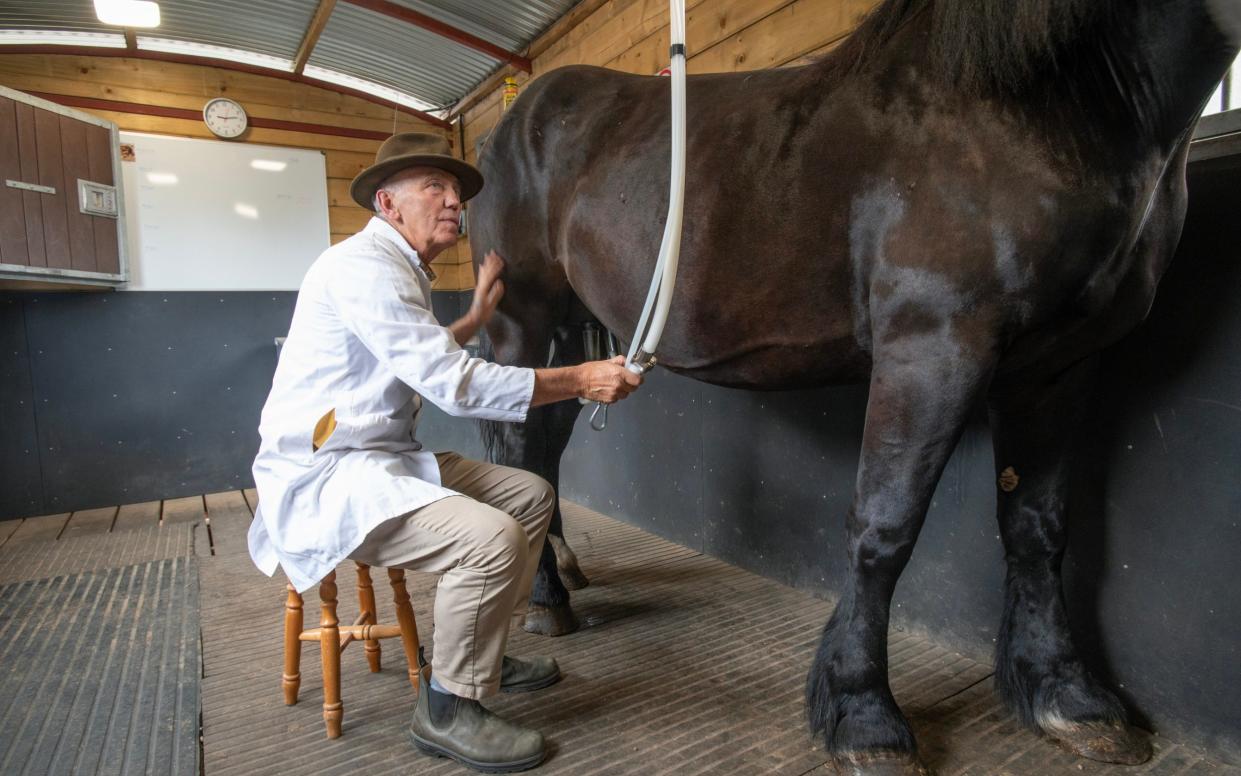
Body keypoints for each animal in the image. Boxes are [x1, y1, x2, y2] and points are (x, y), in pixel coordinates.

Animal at [469, 3, 1236, 769]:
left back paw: (560, 578)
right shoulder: (931, 350)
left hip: (576, 335)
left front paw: (1065, 693)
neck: (1049, 103)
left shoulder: (1058, 367)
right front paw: (863, 713)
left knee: (543, 451)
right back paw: (544, 598)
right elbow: (883, 529)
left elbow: (1036, 526)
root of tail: (515, 119)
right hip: (523, 320)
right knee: (518, 449)